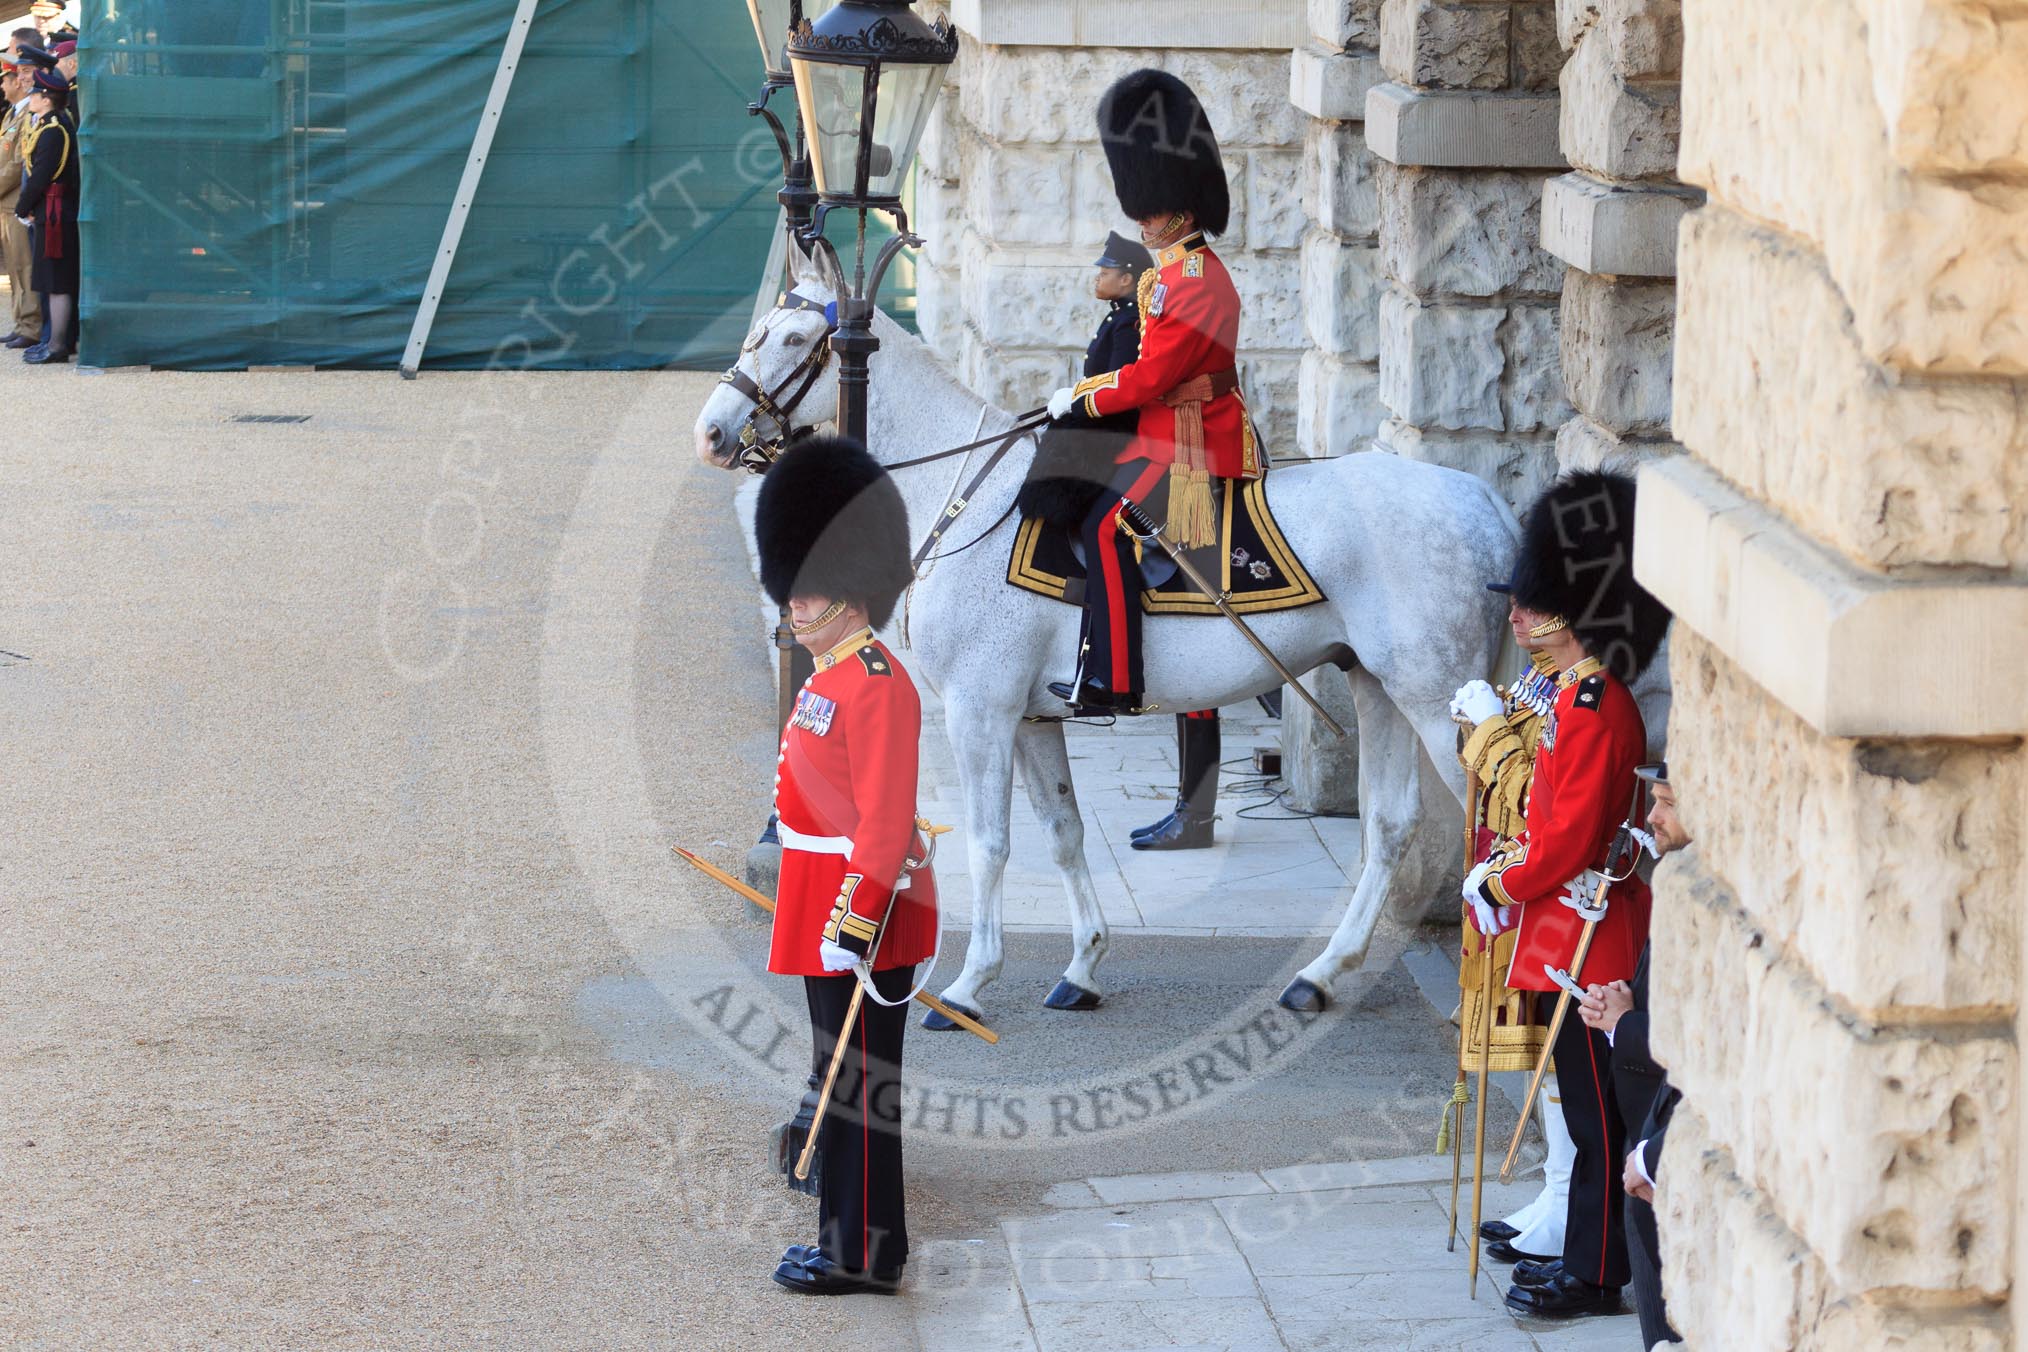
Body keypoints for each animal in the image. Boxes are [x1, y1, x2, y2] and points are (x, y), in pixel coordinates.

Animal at [689, 253, 1516, 1021]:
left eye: (795, 338)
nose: (712, 432)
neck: (963, 495)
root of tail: (1483, 498)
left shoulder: (979, 711)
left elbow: (990, 843)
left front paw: (968, 985)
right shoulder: (1029, 715)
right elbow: (1063, 830)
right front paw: (1081, 966)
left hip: (1435, 698)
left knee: (1495, 824)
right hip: (1376, 683)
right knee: (1392, 824)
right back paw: (1322, 975)